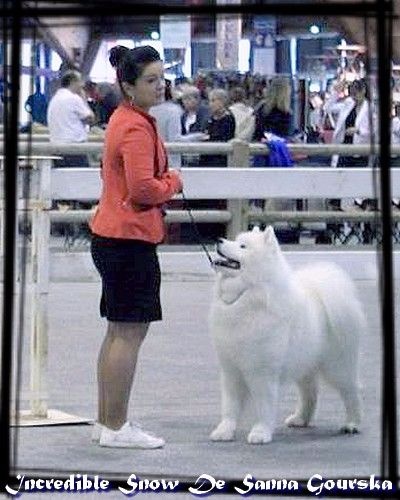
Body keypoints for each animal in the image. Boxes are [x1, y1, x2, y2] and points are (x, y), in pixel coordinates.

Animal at [209, 226, 364, 444]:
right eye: (235, 240)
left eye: (243, 246)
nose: (219, 239)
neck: (249, 293)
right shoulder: (231, 370)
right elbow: (230, 406)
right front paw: (224, 431)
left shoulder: (262, 372)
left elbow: (264, 406)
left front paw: (260, 432)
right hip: (306, 364)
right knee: (310, 393)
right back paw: (300, 419)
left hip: (338, 366)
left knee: (351, 391)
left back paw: (352, 424)